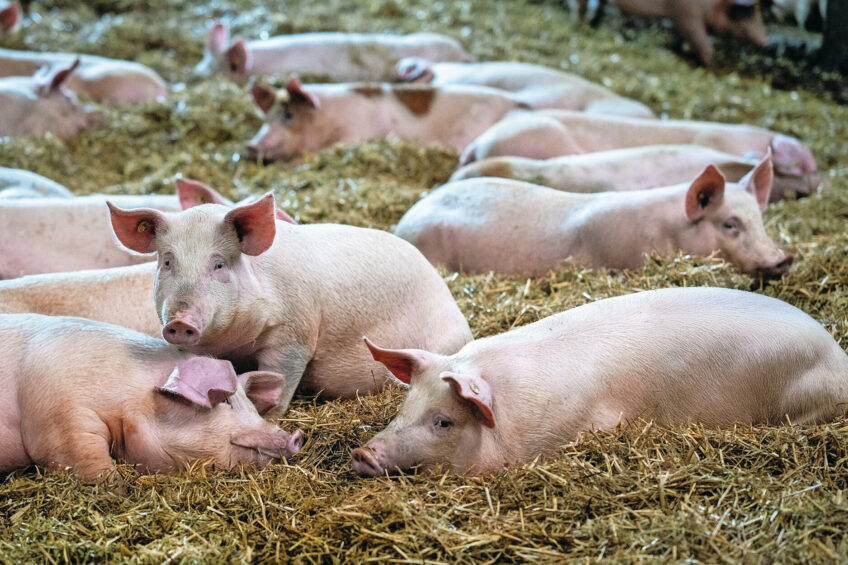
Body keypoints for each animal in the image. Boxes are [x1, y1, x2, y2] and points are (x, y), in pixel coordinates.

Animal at [0, 313, 303, 478]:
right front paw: (117, 491)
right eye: (226, 401)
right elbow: (85, 459)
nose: (296, 436)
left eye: (251, 407)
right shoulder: (59, 415)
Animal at [107, 189, 473, 419]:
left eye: (219, 264)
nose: (180, 321)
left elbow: (279, 383)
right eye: (167, 262)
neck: (234, 343)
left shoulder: (294, 335)